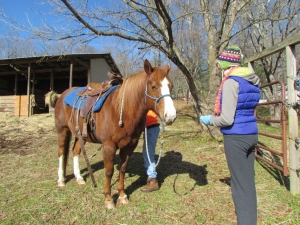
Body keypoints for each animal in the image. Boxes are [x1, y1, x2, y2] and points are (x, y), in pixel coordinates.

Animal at [52, 59, 176, 208]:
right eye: (153, 86)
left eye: (171, 86)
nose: (170, 116)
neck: (121, 111)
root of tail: (63, 94)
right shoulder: (108, 146)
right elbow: (109, 171)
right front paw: (108, 199)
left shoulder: (129, 146)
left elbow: (122, 169)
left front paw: (122, 195)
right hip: (62, 130)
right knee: (61, 152)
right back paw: (61, 180)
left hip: (80, 134)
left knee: (75, 151)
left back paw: (79, 178)